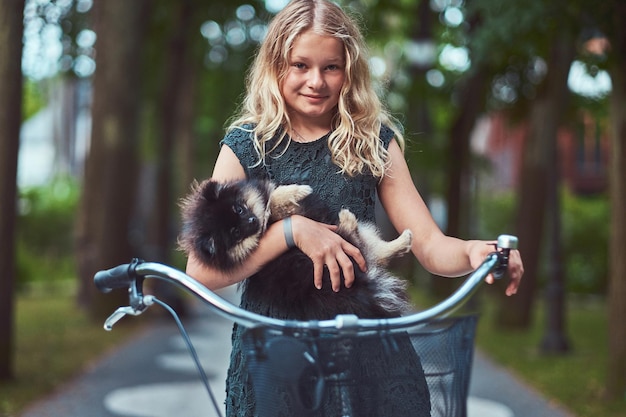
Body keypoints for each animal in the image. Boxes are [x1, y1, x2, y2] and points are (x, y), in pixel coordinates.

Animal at [177, 178, 410, 318]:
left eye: (239, 209)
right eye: (235, 232)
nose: (252, 221)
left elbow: (272, 196)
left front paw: (294, 191)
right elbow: (275, 203)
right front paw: (296, 192)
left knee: (376, 251)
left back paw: (403, 240)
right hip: (334, 253)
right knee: (357, 241)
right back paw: (348, 220)